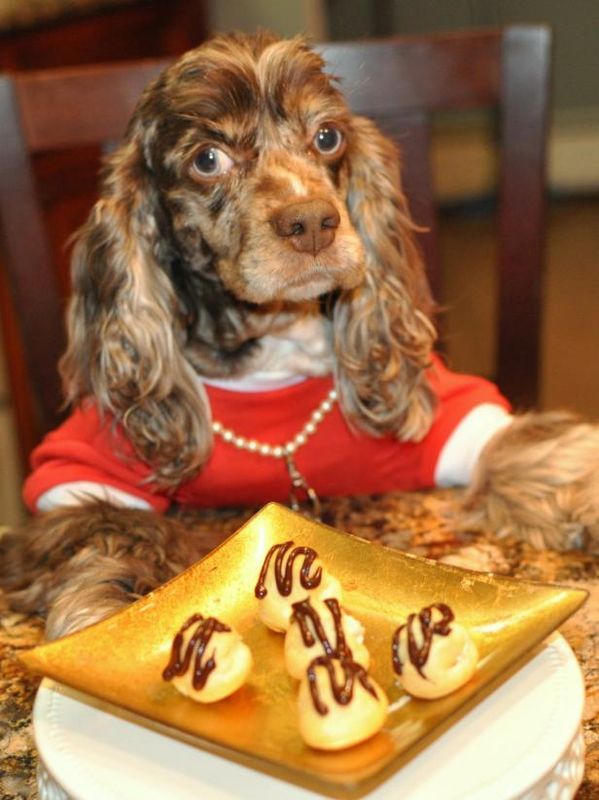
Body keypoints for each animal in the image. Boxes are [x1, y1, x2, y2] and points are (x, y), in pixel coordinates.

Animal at [1, 34, 599, 640]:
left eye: (328, 136)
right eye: (207, 160)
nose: (312, 222)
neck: (274, 347)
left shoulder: (452, 419)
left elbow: (535, 449)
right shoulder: (78, 468)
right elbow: (109, 523)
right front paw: (125, 604)